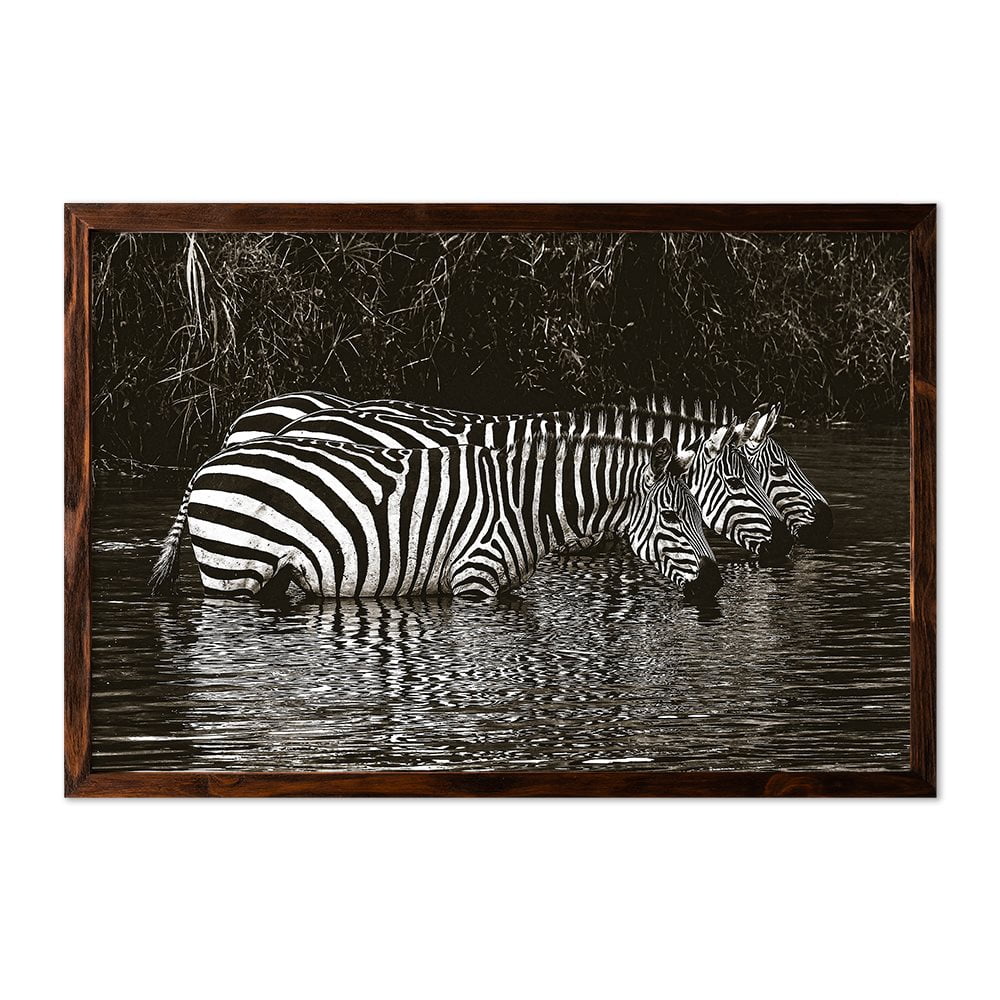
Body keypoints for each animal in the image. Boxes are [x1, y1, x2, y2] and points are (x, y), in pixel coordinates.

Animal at [149, 432, 721, 601]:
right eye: (672, 514)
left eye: (699, 510)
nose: (715, 583)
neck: (526, 504)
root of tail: (205, 465)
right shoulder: (474, 582)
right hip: (232, 572)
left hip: (267, 578)